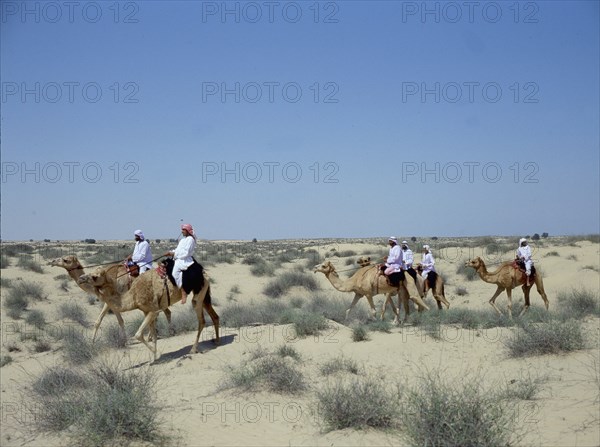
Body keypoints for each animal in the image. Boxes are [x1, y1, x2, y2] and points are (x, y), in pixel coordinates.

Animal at [77, 262, 220, 360]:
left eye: (95, 276)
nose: (81, 278)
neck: (133, 296)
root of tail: (205, 274)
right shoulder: (146, 311)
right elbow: (153, 335)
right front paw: (155, 357)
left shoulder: (153, 310)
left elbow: (138, 334)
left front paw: (154, 354)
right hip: (204, 294)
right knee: (214, 316)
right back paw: (217, 341)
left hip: (198, 295)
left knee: (201, 320)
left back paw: (193, 349)